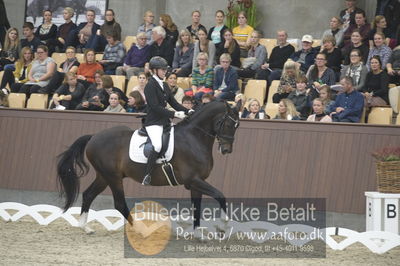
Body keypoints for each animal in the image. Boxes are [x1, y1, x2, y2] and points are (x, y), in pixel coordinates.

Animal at [56, 101, 241, 232]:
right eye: (227, 124)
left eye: (237, 126)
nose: (226, 150)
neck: (193, 138)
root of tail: (93, 137)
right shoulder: (193, 180)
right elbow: (220, 195)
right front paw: (223, 225)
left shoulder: (197, 182)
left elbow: (197, 207)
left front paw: (197, 233)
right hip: (113, 177)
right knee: (119, 203)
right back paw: (140, 229)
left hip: (104, 176)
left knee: (88, 195)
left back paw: (85, 227)